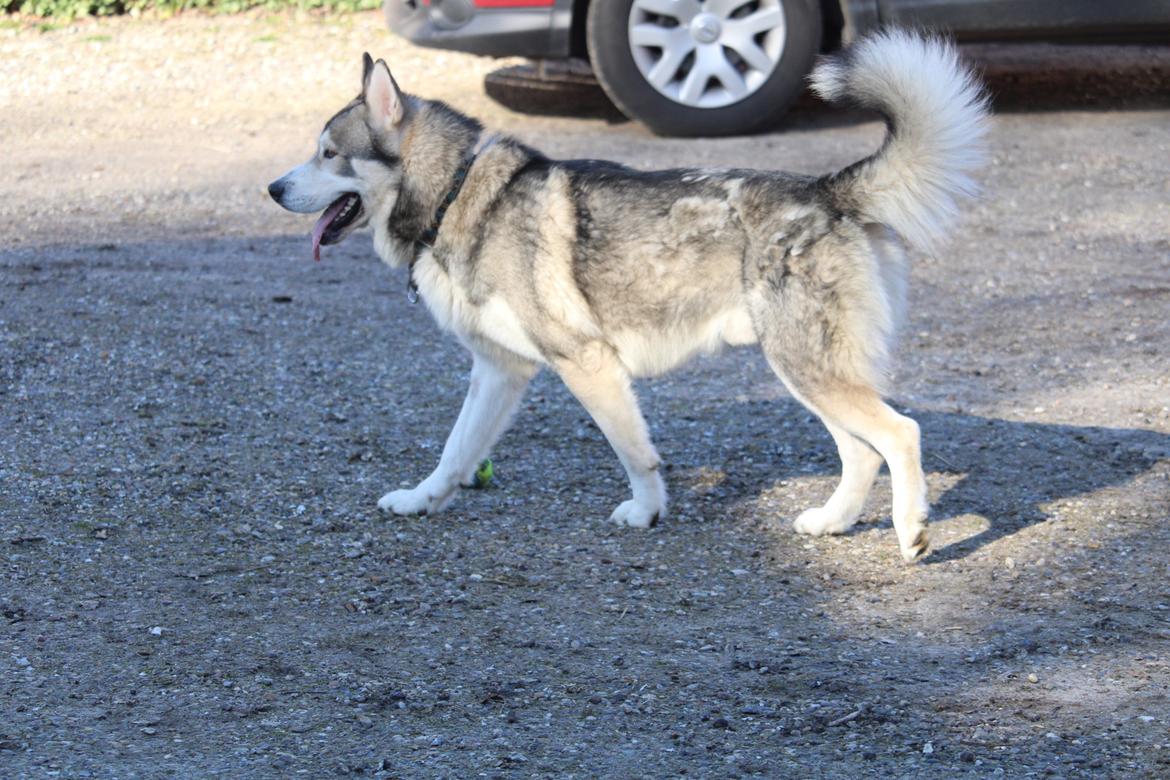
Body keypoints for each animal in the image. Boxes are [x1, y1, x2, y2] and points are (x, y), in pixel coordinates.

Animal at [271, 30, 987, 563]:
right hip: (806, 372)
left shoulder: (587, 364)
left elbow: (634, 453)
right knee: (861, 451)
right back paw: (834, 521)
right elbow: (454, 453)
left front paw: (646, 511)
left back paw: (910, 531)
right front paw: (421, 501)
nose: (273, 189)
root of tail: (827, 190)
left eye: (328, 153)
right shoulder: (501, 372)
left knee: (899, 434)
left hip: (806, 367)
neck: (453, 194)